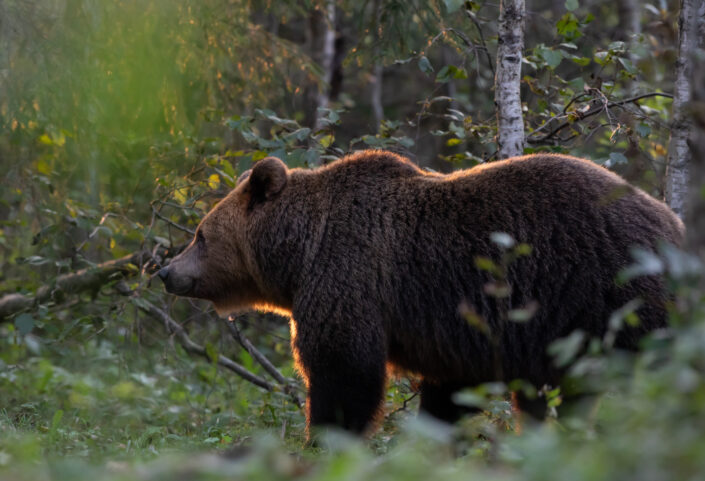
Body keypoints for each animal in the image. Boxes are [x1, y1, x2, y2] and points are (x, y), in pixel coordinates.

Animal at [158, 151, 680, 436]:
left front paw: (322, 438)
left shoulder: (350, 276)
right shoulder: (461, 334)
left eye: (200, 235)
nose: (166, 271)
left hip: (612, 296)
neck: (299, 252)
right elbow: (450, 396)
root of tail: (674, 223)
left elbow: (344, 373)